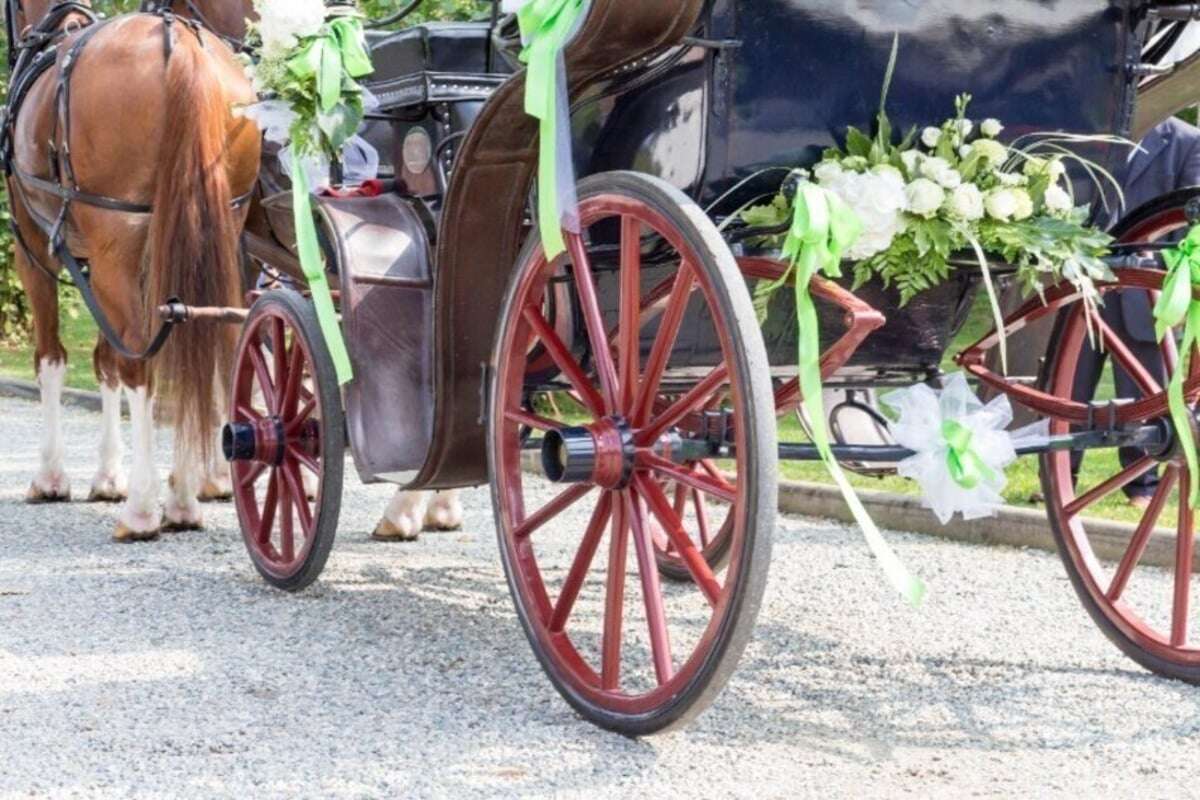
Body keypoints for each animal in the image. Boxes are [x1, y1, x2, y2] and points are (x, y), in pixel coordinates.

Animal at [8, 0, 262, 542]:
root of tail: (178, 43)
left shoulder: (34, 246)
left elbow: (53, 360)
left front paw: (52, 477)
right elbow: (105, 360)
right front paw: (107, 476)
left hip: (114, 240)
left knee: (143, 363)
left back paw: (145, 510)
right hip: (214, 232)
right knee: (203, 342)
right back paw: (184, 496)